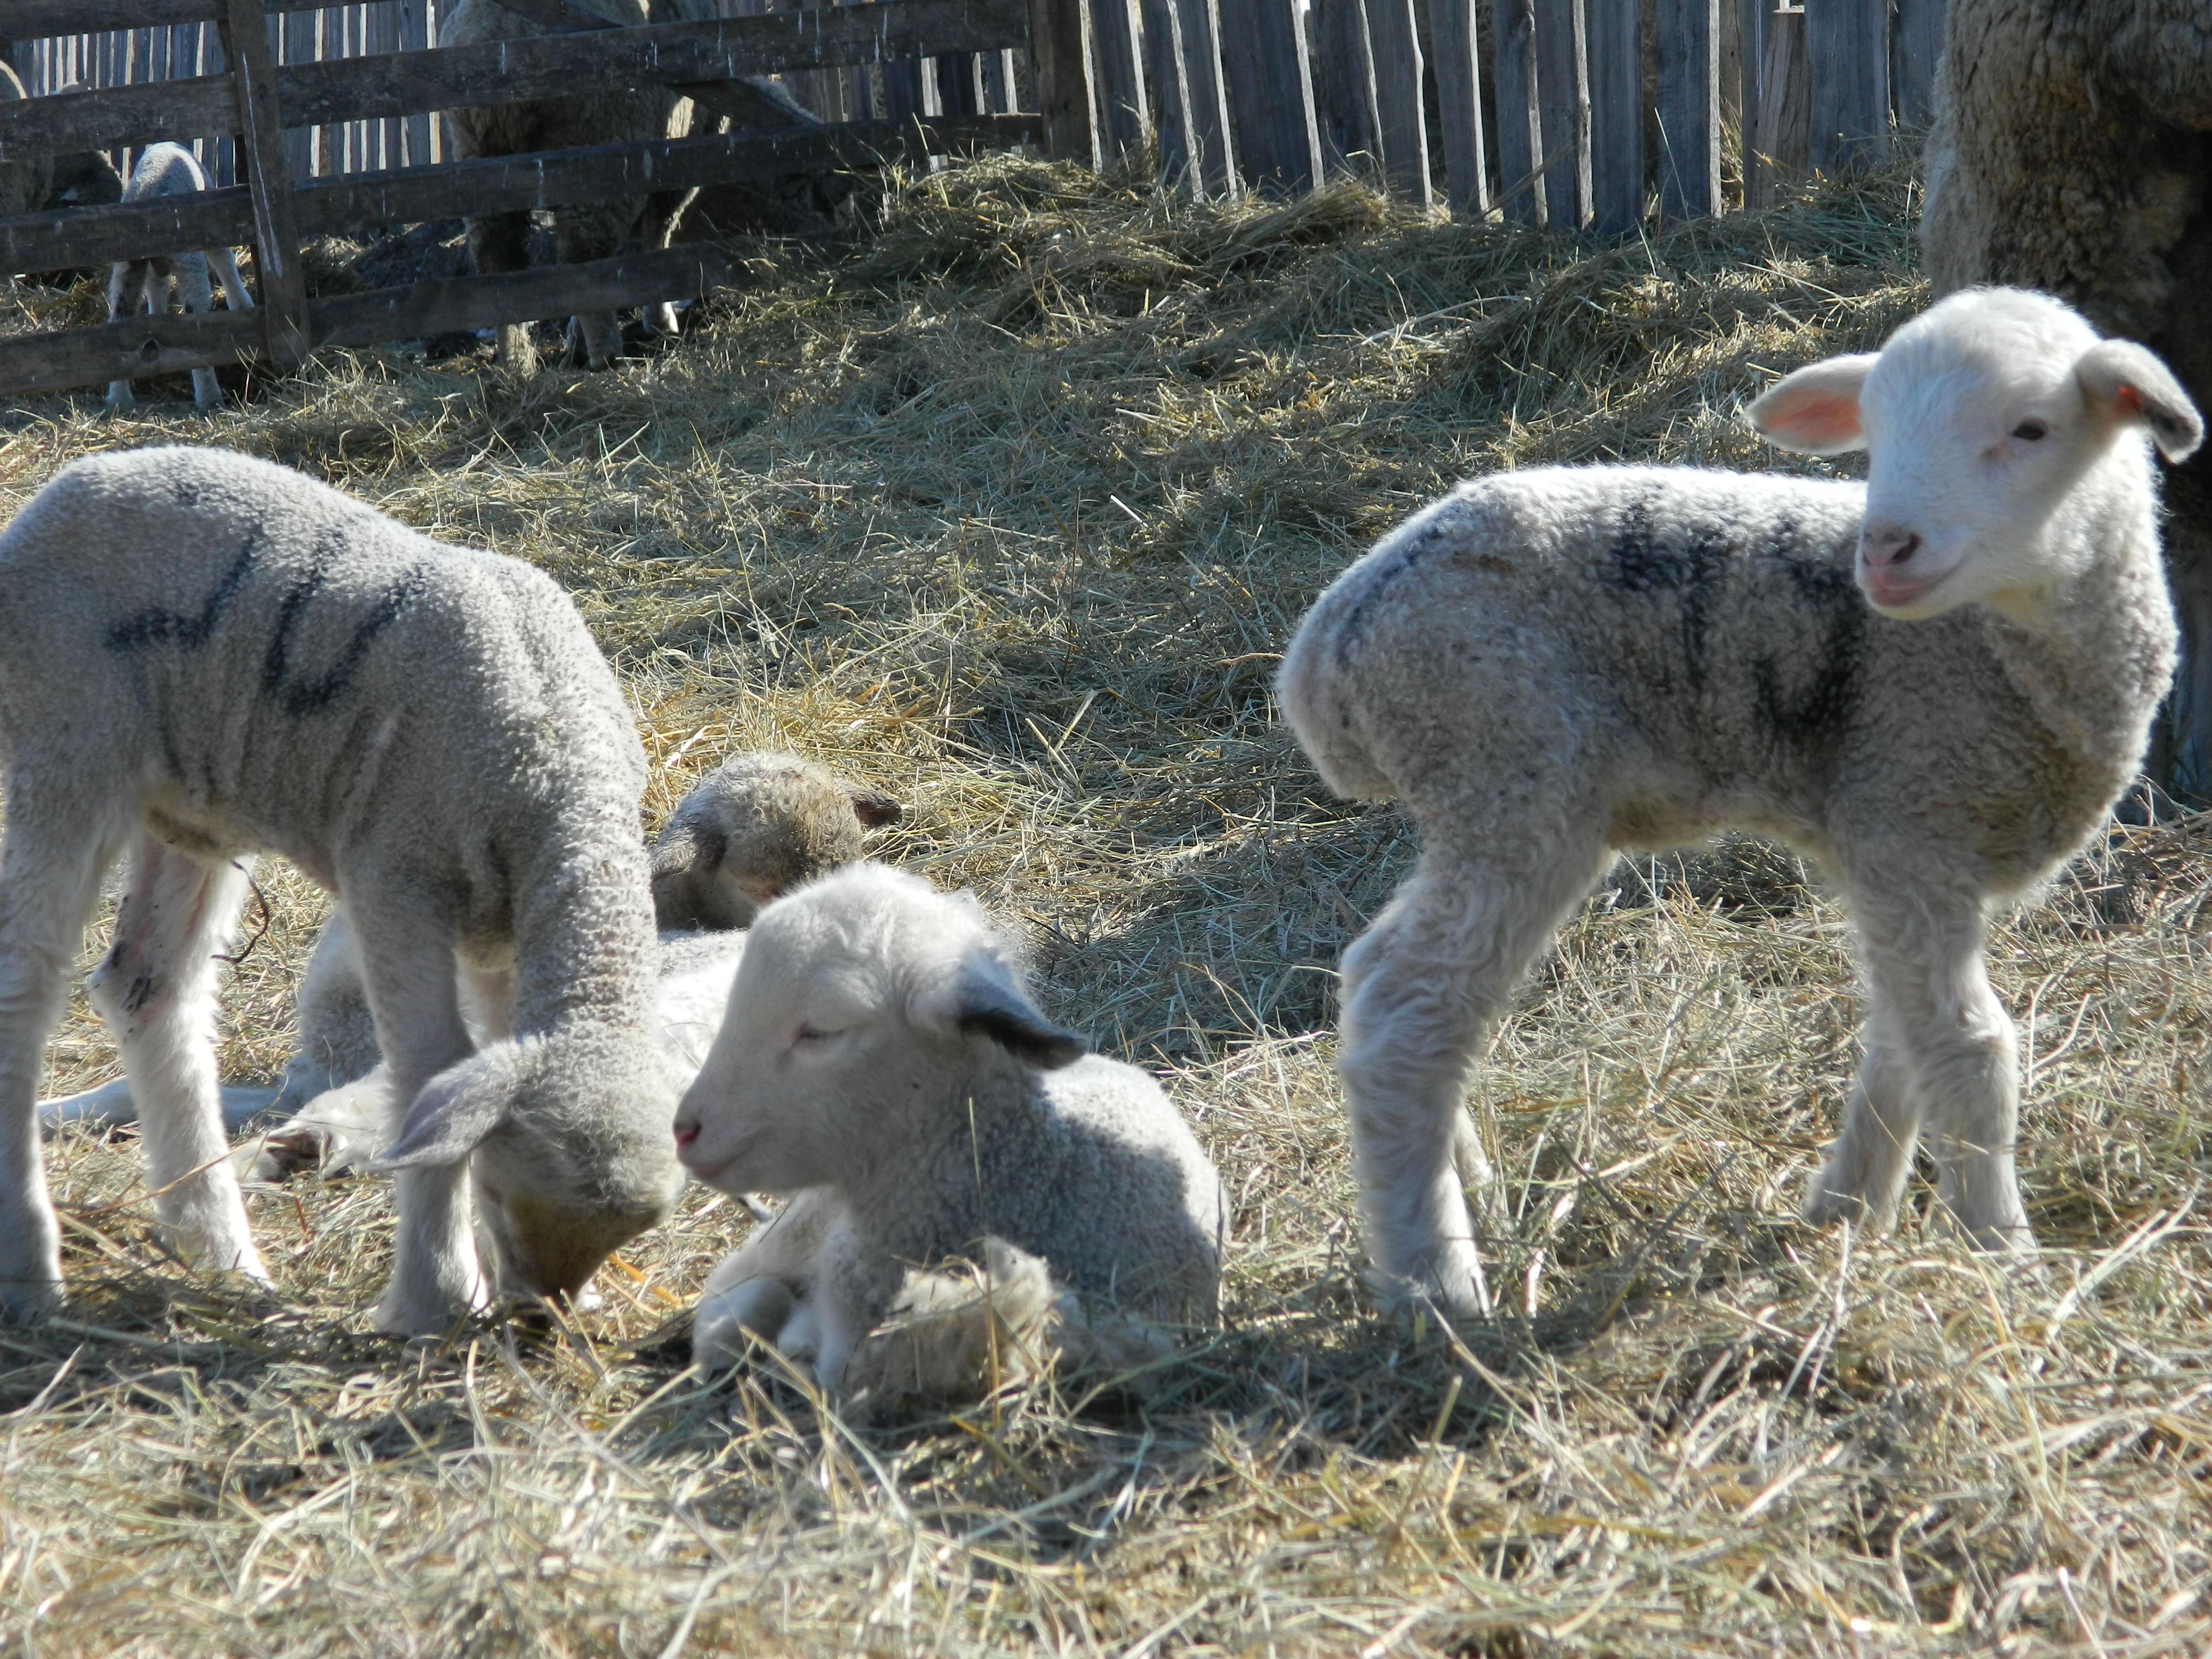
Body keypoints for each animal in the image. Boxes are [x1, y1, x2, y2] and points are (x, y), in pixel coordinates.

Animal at [0, 449, 681, 1345]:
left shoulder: (502, 939)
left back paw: (219, 1252)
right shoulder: (395, 871)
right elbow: (432, 1067)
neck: (558, 780)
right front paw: (437, 1297)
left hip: (187, 808)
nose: (540, 1320)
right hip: (65, 741)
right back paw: (31, 1269)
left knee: (150, 988)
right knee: (25, 983)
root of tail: (58, 492)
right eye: (502, 1194)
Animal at [104, 143, 255, 416]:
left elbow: (157, 288)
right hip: (189, 259)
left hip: (127, 265)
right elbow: (224, 259)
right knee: (196, 323)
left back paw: (119, 398)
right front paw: (242, 304)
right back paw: (210, 397)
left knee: (122, 315)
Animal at [1274, 285, 2203, 1327]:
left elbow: (1902, 1037)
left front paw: (1847, 1213)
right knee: (1409, 1012)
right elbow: (1969, 1050)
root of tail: (1327, 646)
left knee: (1376, 976)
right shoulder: (1908, 818)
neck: (1999, 655)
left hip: (1484, 794)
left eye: (2031, 429)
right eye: (1874, 433)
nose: (1884, 550)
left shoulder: (1900, 847)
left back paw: (1468, 1187)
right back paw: (1434, 1281)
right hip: (1510, 773)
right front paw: (2006, 1259)